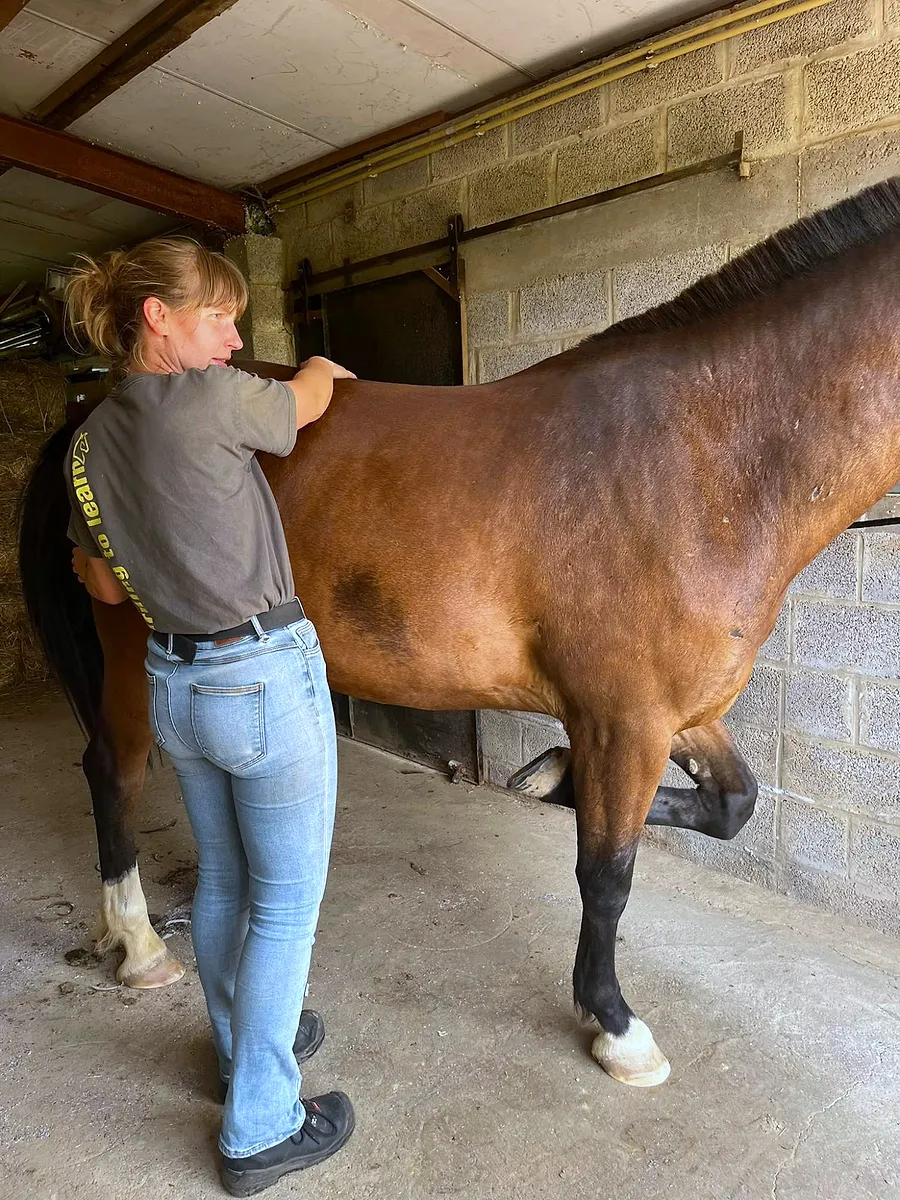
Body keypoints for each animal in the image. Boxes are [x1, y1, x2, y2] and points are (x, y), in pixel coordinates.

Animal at [18, 176, 900, 1089]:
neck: (701, 458)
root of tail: (88, 419)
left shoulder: (675, 714)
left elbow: (732, 806)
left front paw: (550, 777)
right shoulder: (625, 720)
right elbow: (606, 874)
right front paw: (615, 1025)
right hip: (130, 664)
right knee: (113, 773)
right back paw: (139, 944)